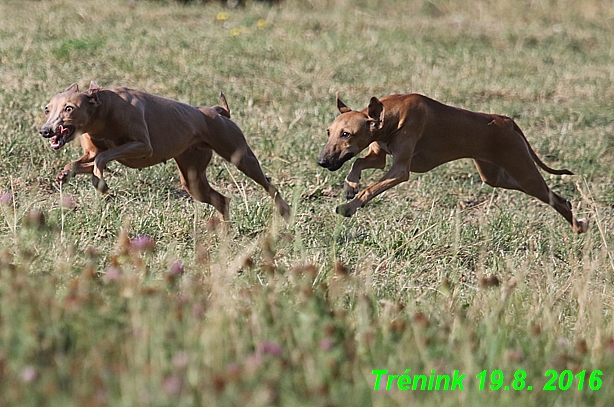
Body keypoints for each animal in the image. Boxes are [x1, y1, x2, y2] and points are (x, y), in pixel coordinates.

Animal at [40, 81, 292, 222]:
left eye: (69, 108)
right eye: (47, 109)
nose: (45, 130)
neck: (102, 110)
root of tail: (215, 111)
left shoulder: (142, 147)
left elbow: (102, 159)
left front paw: (100, 183)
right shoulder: (93, 152)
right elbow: (83, 162)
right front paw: (67, 175)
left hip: (241, 156)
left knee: (268, 185)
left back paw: (285, 211)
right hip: (192, 178)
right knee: (222, 201)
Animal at [320, 92, 588, 233]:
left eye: (346, 134)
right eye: (329, 132)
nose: (322, 161)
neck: (392, 116)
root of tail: (507, 121)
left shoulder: (400, 170)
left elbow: (370, 189)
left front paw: (349, 206)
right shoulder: (378, 156)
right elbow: (357, 164)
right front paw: (350, 186)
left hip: (523, 171)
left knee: (556, 198)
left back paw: (578, 226)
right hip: (495, 176)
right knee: (555, 197)